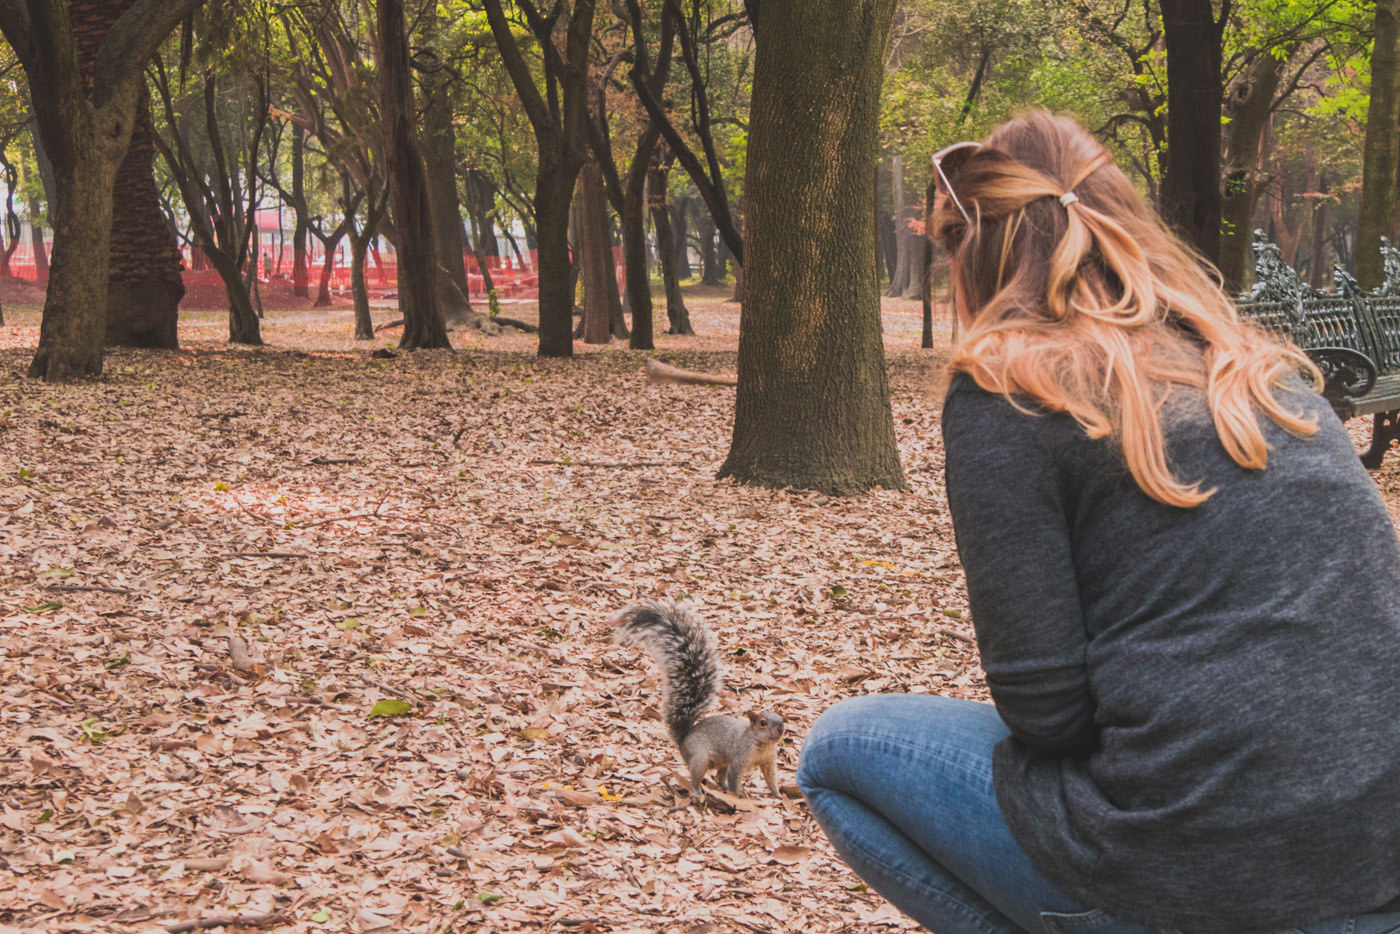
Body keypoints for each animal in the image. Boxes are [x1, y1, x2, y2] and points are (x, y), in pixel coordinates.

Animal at [613, 596, 789, 800]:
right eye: (762, 722)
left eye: (782, 719)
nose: (780, 730)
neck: (762, 746)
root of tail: (683, 740)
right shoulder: (738, 758)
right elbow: (734, 778)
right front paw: (738, 796)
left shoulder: (768, 762)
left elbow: (771, 779)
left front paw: (777, 795)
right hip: (700, 759)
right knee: (697, 776)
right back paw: (698, 790)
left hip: (719, 761)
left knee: (719, 776)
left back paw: (720, 787)